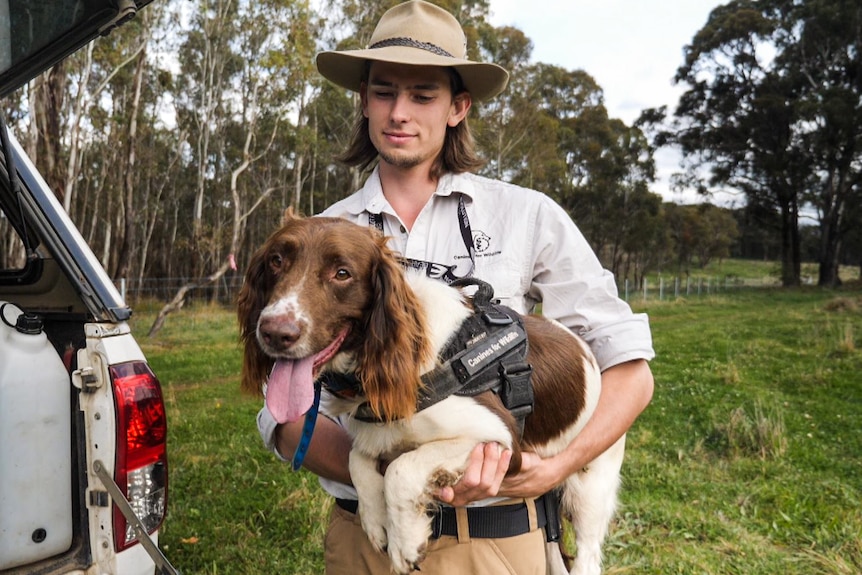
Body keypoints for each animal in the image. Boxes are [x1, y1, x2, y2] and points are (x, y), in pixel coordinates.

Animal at [238, 213, 628, 575]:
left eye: (342, 273)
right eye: (276, 261)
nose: (275, 332)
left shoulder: (502, 440)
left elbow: (400, 470)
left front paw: (405, 542)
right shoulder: (374, 433)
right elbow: (357, 459)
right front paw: (377, 523)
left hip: (591, 484)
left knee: (587, 556)